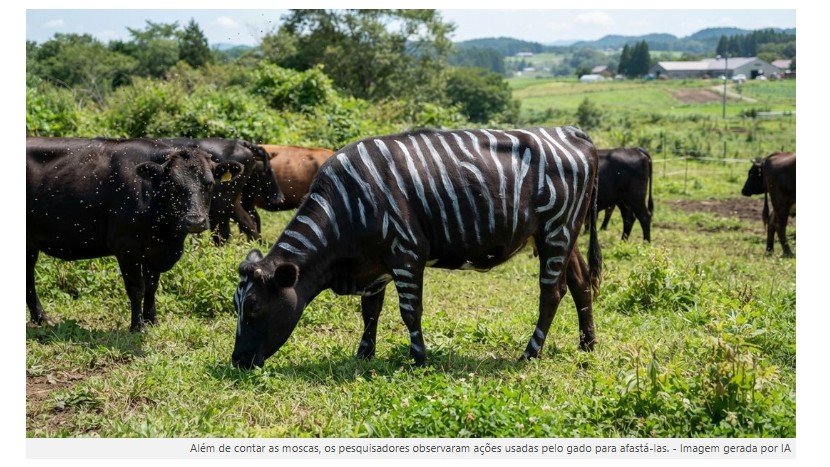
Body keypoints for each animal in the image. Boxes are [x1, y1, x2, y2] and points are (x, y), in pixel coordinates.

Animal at [27, 137, 244, 331]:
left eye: (209, 183)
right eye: (173, 184)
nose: (195, 221)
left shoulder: (155, 250)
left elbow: (152, 285)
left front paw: (152, 320)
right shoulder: (126, 248)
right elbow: (136, 288)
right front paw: (137, 326)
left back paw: (41, 319)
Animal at [230, 126, 601, 369]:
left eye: (254, 309)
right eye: (236, 307)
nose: (237, 362)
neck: (346, 208)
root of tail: (572, 131)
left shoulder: (406, 253)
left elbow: (410, 311)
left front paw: (419, 358)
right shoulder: (374, 264)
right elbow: (370, 312)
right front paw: (364, 355)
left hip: (557, 230)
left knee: (552, 293)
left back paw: (531, 352)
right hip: (561, 233)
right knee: (581, 284)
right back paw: (588, 344)